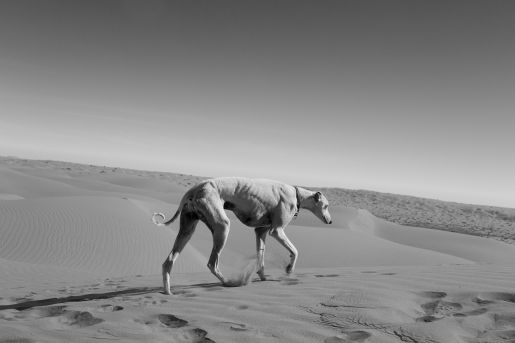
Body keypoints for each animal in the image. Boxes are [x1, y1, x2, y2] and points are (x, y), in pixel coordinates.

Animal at [151, 177, 332, 296]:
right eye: (326, 205)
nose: (330, 221)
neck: (296, 194)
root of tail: (194, 189)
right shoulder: (276, 230)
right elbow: (295, 251)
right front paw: (289, 269)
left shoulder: (261, 231)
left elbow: (261, 258)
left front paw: (263, 277)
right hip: (222, 226)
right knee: (212, 263)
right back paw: (230, 283)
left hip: (188, 228)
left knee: (168, 261)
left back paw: (167, 292)